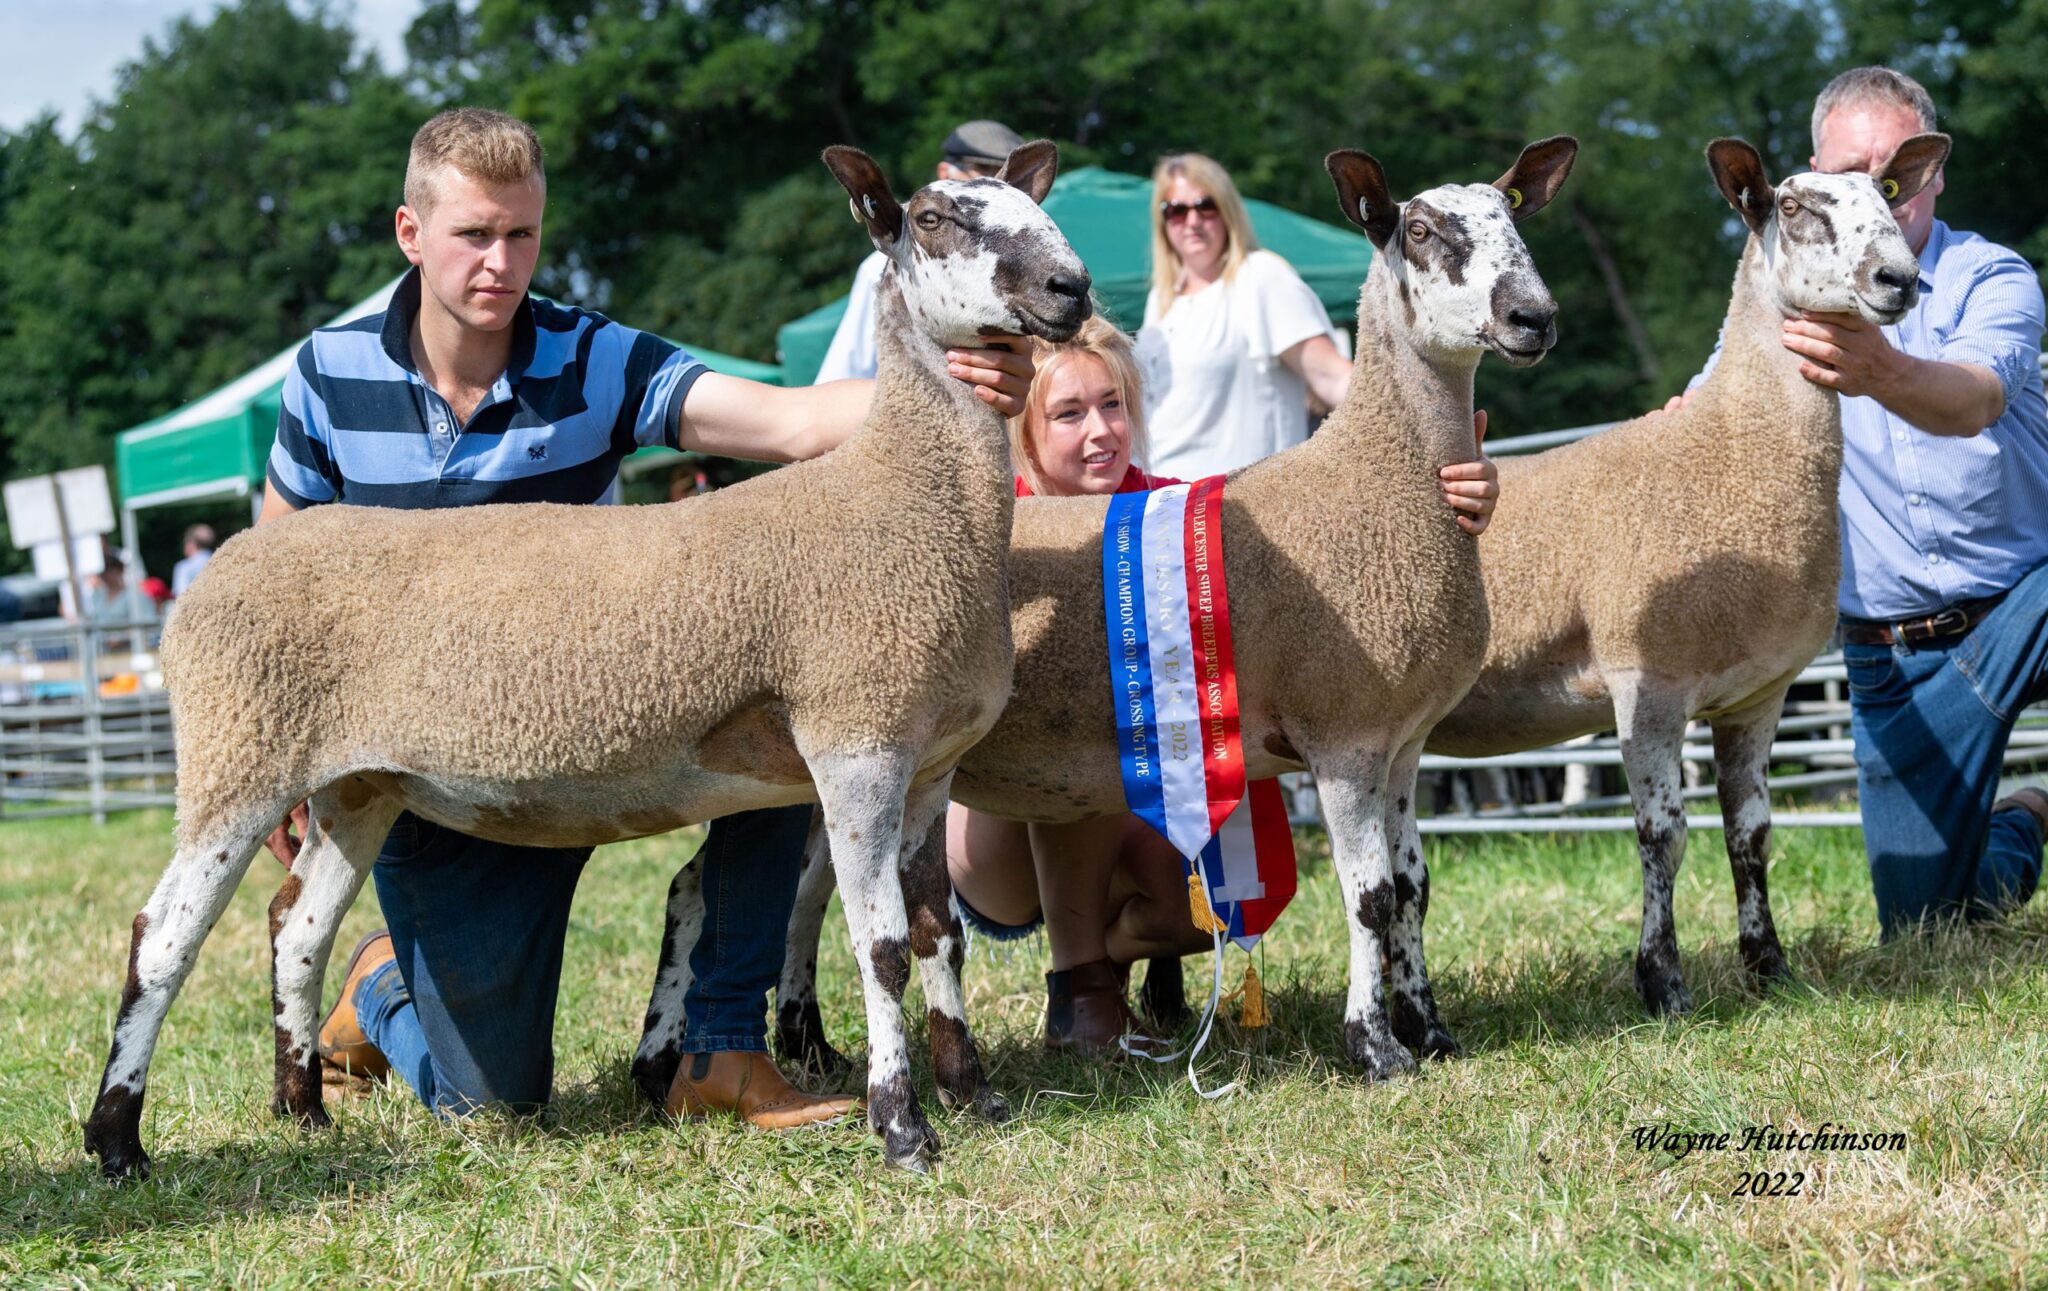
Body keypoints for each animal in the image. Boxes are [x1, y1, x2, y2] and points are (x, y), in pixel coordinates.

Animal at [81, 141, 1097, 1180]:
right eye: (933, 219)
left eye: (1037, 206)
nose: (1072, 287)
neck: (907, 496)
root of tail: (214, 573)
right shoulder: (857, 740)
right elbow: (884, 945)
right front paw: (901, 1128)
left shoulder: (931, 762)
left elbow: (940, 935)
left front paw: (974, 1095)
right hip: (239, 753)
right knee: (162, 939)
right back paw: (118, 1139)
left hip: (356, 785)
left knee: (300, 929)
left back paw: (302, 1108)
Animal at [626, 139, 1581, 1090]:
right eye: (1420, 231)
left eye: (1515, 219)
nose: (1534, 317)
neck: (1378, 481)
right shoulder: (1342, 732)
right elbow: (1371, 896)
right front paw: (1374, 1045)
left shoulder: (1404, 740)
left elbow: (1414, 890)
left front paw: (1431, 1030)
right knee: (716, 889)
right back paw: (669, 1057)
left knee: (797, 896)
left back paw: (804, 1042)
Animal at [1425, 134, 1949, 1020]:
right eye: (1794, 207)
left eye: (1887, 195)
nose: (1899, 279)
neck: (1730, 451)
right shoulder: (1648, 680)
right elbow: (1662, 835)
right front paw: (1662, 981)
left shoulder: (1756, 694)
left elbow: (1751, 832)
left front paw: (1770, 968)